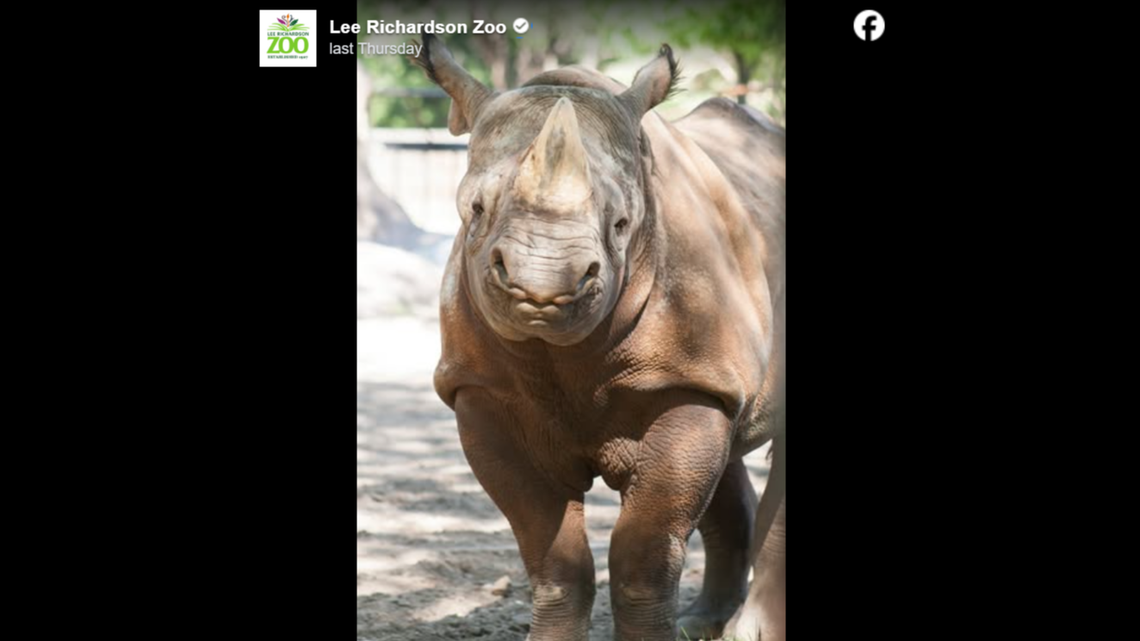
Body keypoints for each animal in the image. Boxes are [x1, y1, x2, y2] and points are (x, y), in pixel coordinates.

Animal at [410, 35, 785, 641]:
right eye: (475, 209)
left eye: (621, 224)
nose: (541, 284)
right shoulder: (479, 391)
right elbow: (551, 555)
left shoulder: (686, 385)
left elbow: (643, 553)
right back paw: (699, 622)